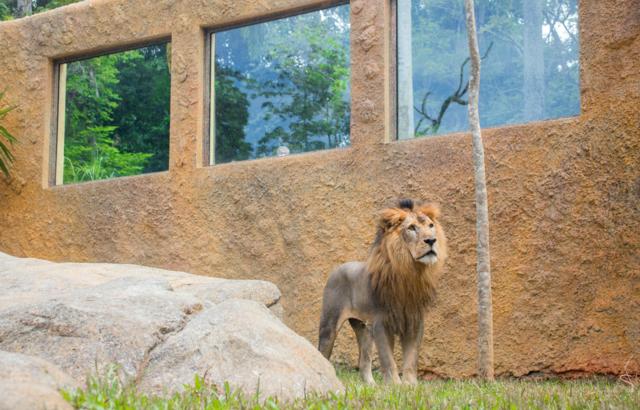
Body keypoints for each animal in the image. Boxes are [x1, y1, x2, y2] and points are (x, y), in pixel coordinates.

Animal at [318, 199, 448, 384]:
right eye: (412, 228)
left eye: (431, 225)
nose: (431, 240)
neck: (410, 273)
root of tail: (338, 267)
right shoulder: (381, 323)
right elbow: (388, 359)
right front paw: (394, 385)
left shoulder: (415, 322)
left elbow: (411, 359)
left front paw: (410, 385)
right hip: (330, 324)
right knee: (322, 351)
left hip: (364, 329)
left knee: (364, 361)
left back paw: (371, 386)